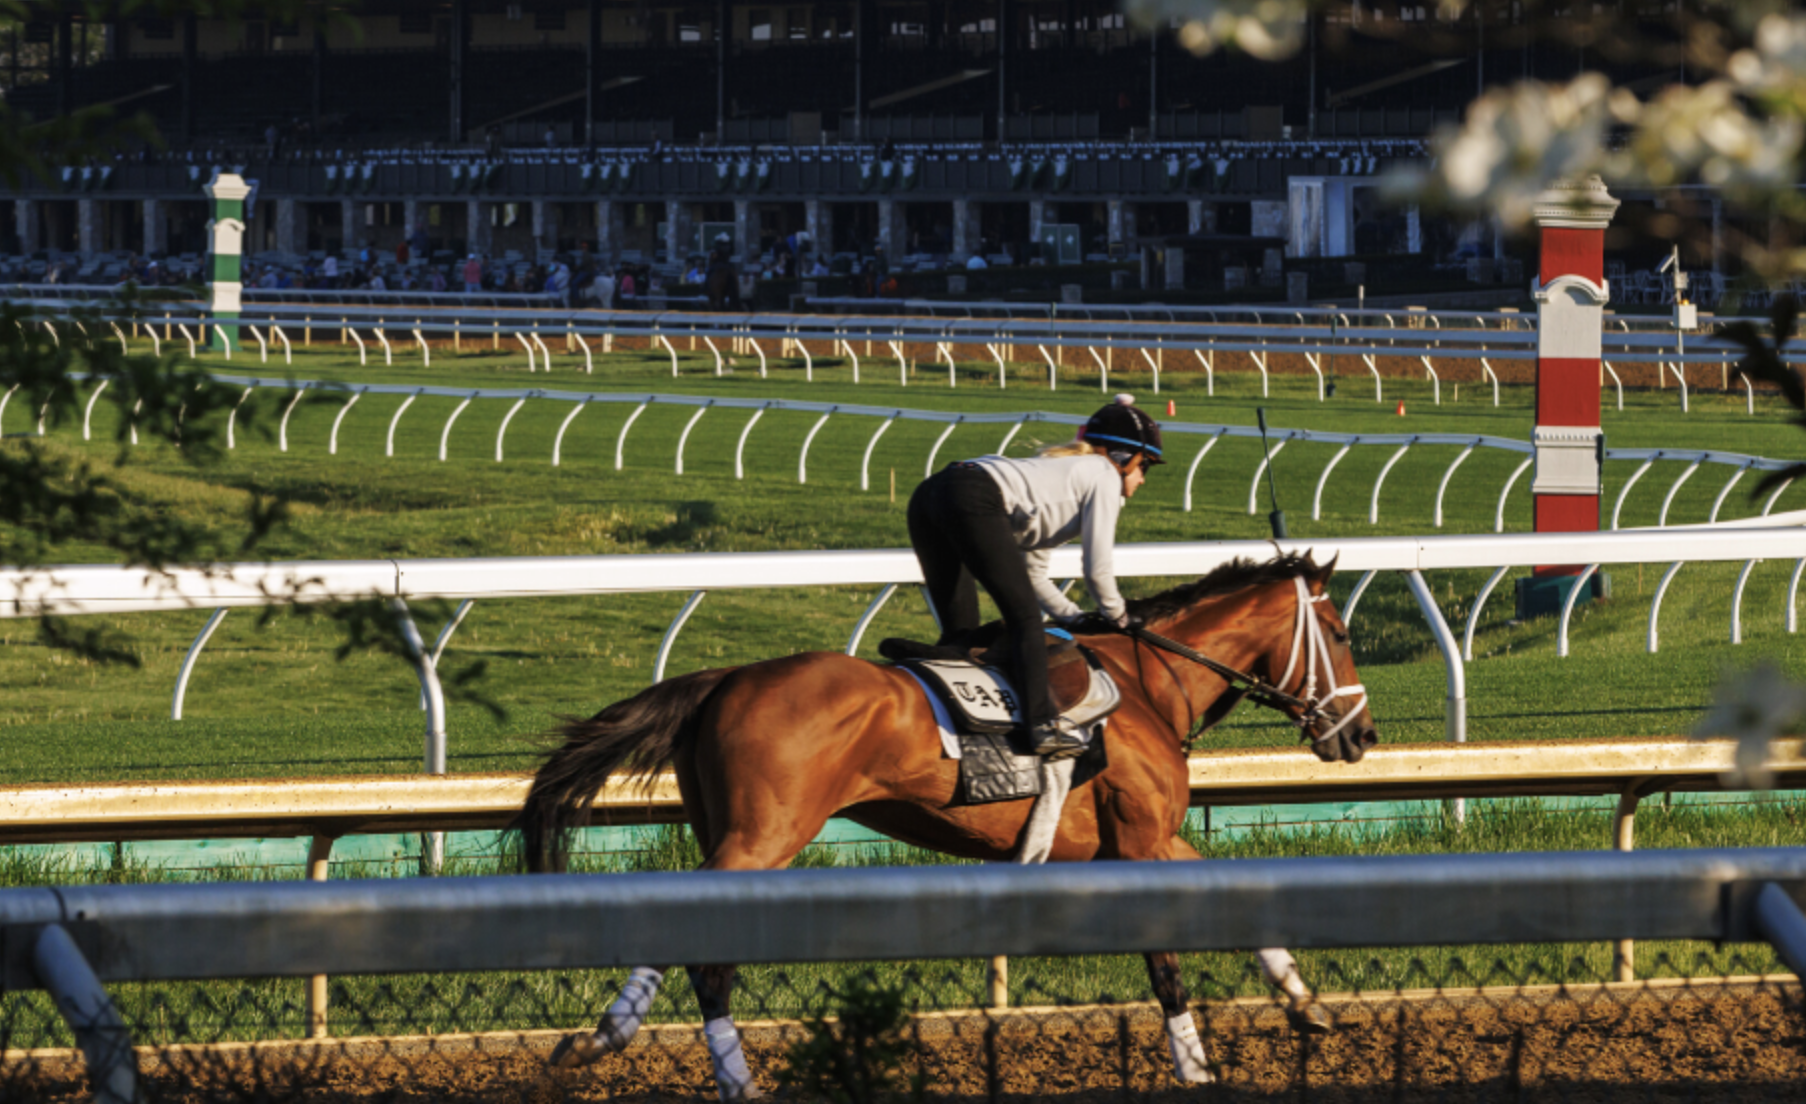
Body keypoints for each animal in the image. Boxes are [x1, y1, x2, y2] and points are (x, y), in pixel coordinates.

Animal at [520, 552, 1379, 1098]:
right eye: (1341, 635)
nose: (1361, 735)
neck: (1142, 685)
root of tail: (724, 679)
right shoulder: (1135, 842)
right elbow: (1164, 961)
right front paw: (1194, 1070)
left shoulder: (1152, 838)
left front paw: (1306, 1003)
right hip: (764, 837)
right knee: (705, 957)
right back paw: (721, 1077)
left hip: (726, 830)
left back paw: (606, 1043)